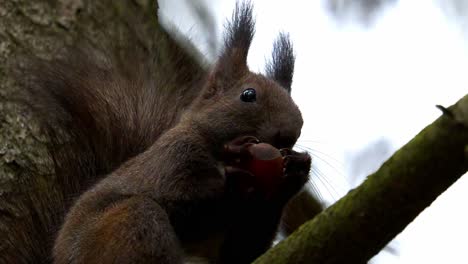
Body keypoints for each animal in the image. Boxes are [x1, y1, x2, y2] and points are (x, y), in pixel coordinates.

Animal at [20, 2, 316, 264]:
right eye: (248, 95)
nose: (290, 133)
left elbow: (243, 250)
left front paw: (297, 169)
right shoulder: (170, 157)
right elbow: (178, 191)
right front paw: (233, 168)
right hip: (128, 221)